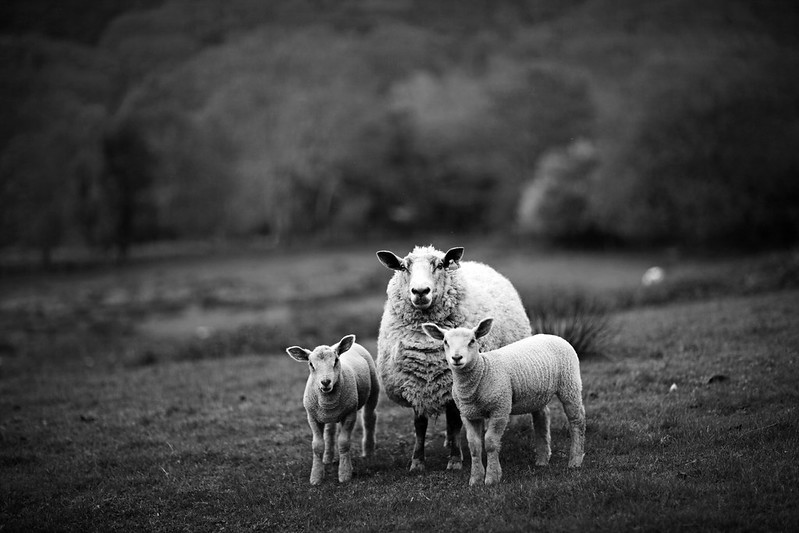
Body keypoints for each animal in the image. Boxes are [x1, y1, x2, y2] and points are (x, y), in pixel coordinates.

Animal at [286, 334, 379, 485]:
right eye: (311, 364)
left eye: (336, 360)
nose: (325, 382)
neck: (328, 399)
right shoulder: (313, 417)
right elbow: (317, 446)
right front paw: (316, 477)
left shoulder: (350, 414)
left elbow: (344, 442)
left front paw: (345, 474)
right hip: (330, 414)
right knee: (330, 431)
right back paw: (328, 457)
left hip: (374, 389)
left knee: (369, 418)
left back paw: (368, 451)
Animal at [376, 245, 531, 472]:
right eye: (403, 267)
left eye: (440, 265)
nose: (420, 291)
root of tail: (476, 263)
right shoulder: (414, 384)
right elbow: (420, 425)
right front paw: (417, 461)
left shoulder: (454, 384)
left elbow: (455, 422)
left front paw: (455, 459)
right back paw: (449, 442)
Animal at [422, 317, 585, 486]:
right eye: (445, 342)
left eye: (472, 341)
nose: (456, 358)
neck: (483, 371)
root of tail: (553, 335)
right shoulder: (468, 414)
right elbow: (474, 446)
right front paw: (475, 479)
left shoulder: (500, 409)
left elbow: (491, 443)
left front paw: (492, 477)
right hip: (537, 394)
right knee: (542, 416)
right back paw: (542, 459)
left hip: (569, 383)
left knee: (577, 420)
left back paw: (575, 460)